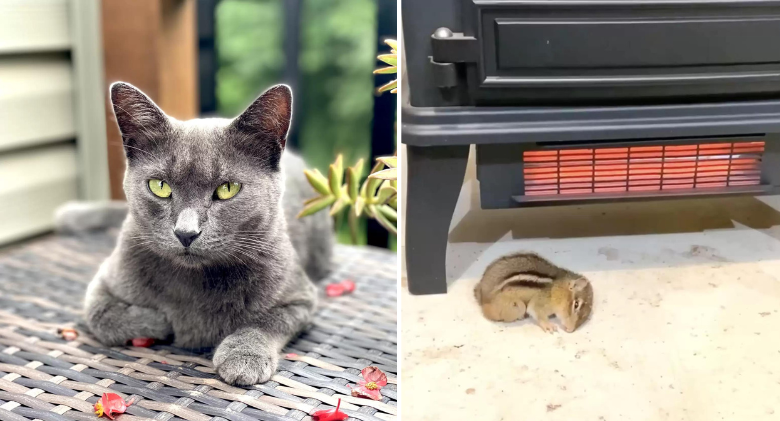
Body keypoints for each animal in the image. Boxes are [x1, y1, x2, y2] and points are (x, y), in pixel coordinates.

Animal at [69, 81, 332, 384]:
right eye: (160, 186)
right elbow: (99, 312)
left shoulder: (300, 297)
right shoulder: (104, 279)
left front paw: (244, 357)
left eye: (227, 189)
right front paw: (160, 322)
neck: (194, 281)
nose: (186, 232)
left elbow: (268, 321)